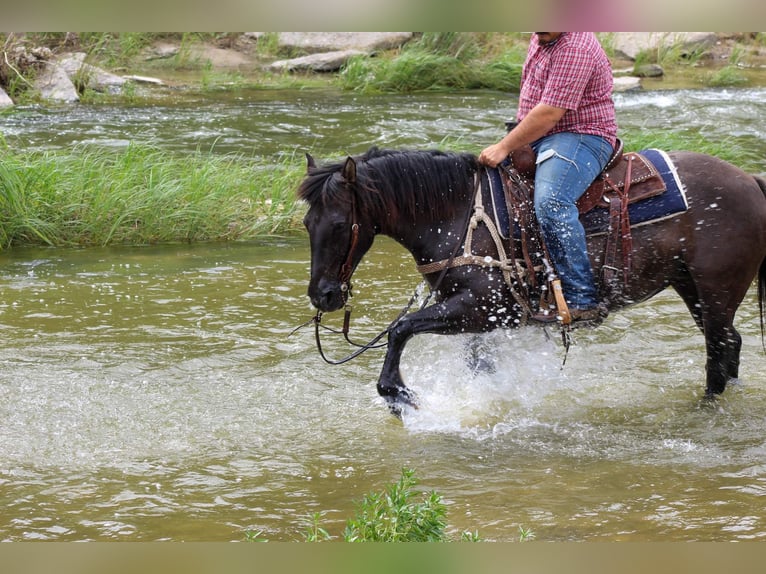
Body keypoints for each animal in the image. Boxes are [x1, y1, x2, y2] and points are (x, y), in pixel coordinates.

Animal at [300, 147, 766, 414]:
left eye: (339, 224)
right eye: (307, 223)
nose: (323, 295)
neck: (455, 214)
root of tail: (749, 180)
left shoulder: (481, 308)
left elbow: (400, 328)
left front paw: (398, 395)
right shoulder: (484, 320)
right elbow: (480, 366)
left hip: (717, 289)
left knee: (718, 351)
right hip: (691, 286)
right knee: (731, 344)